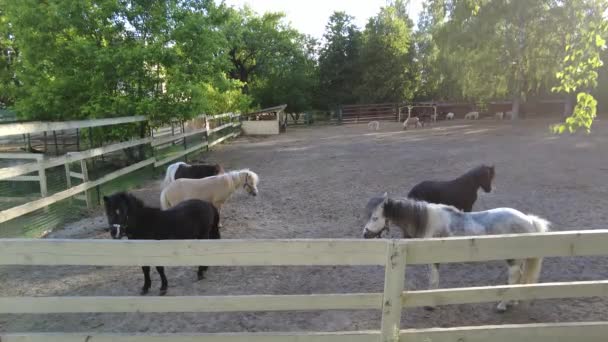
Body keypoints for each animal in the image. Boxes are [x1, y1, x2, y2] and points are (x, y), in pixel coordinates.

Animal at [360, 192, 552, 312]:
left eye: (375, 217)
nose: (365, 234)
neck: (428, 221)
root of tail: (529, 220)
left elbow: (433, 281)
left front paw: (430, 306)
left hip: (512, 260)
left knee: (513, 279)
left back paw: (503, 305)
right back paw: (513, 301)